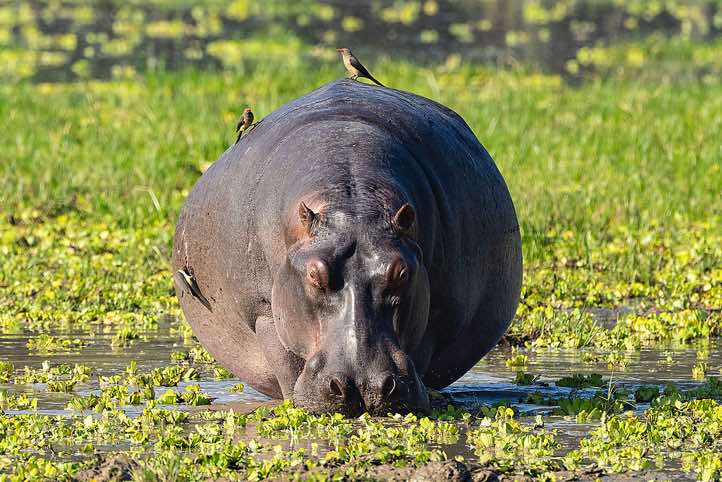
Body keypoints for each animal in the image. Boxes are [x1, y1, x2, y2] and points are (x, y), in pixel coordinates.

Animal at [172, 79, 522, 415]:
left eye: (401, 273)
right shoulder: (262, 311)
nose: (363, 384)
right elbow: (286, 364)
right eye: (314, 274)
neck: (353, 202)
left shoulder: (435, 313)